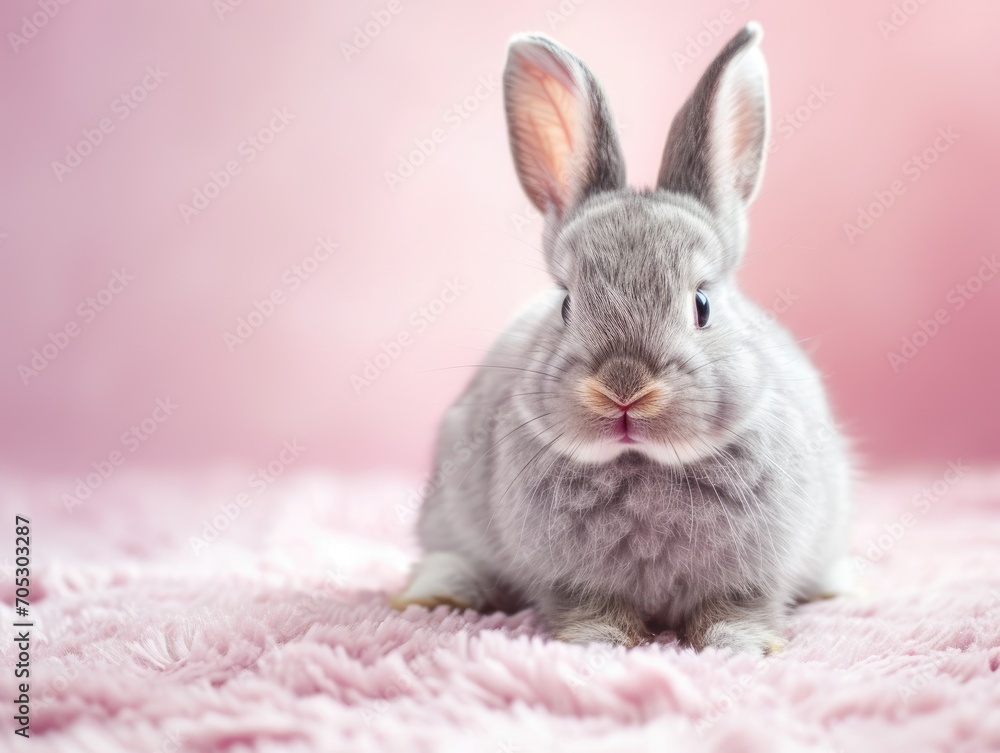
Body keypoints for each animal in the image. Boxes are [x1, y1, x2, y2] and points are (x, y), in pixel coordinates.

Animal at [390, 22, 853, 654]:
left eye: (702, 305)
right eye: (566, 303)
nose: (623, 387)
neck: (644, 463)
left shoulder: (757, 571)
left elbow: (738, 607)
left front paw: (741, 645)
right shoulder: (565, 575)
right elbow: (588, 605)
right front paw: (598, 642)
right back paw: (439, 592)